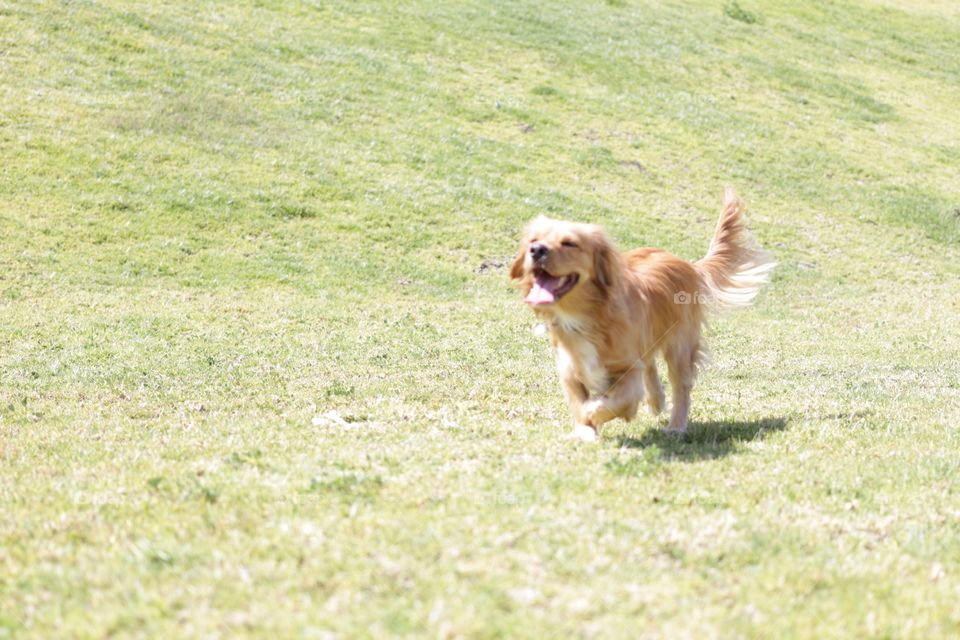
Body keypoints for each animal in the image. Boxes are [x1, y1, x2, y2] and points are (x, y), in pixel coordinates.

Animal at [510, 188, 772, 442]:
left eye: (569, 243)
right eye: (533, 240)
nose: (536, 250)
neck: (585, 316)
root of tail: (688, 264)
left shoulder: (627, 369)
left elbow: (613, 402)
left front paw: (596, 412)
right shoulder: (570, 370)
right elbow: (579, 401)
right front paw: (585, 429)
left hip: (679, 347)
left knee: (681, 387)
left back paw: (675, 426)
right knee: (651, 366)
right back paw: (656, 401)